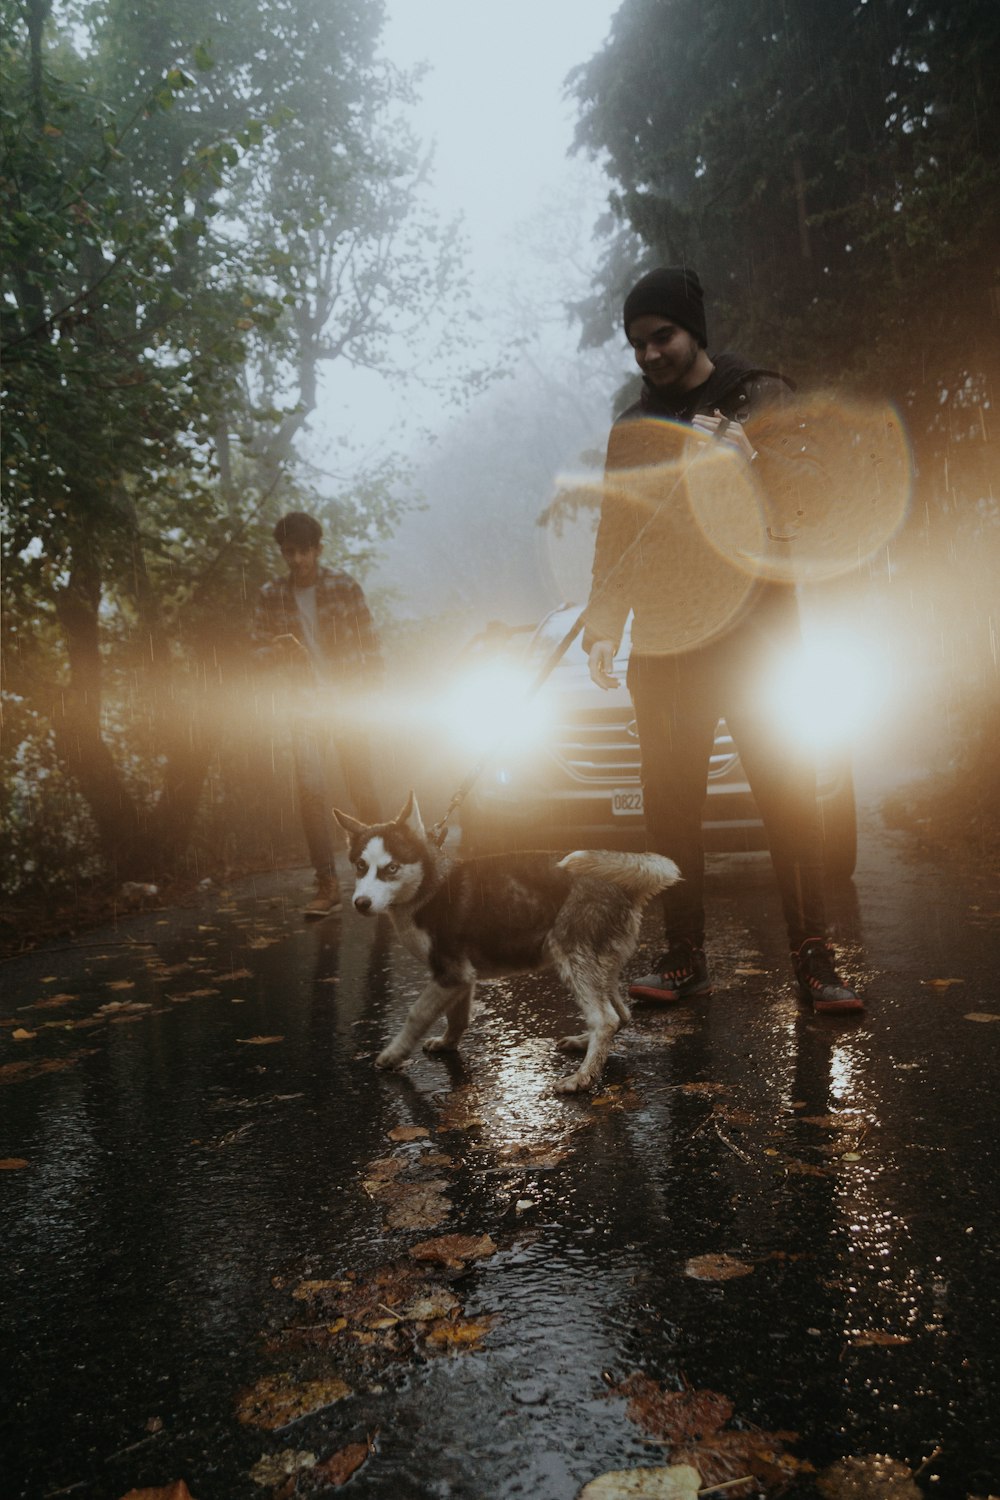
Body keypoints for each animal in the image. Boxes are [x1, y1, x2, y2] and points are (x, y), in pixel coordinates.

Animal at [334, 792, 680, 1098]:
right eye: (360, 866)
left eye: (391, 868)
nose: (361, 903)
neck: (428, 886)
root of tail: (621, 885)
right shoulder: (462, 978)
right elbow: (457, 1018)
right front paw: (447, 1044)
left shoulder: (449, 972)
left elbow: (416, 1014)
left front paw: (394, 1053)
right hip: (599, 964)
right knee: (621, 1014)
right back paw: (584, 1043)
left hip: (572, 958)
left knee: (606, 1019)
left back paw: (582, 1077)